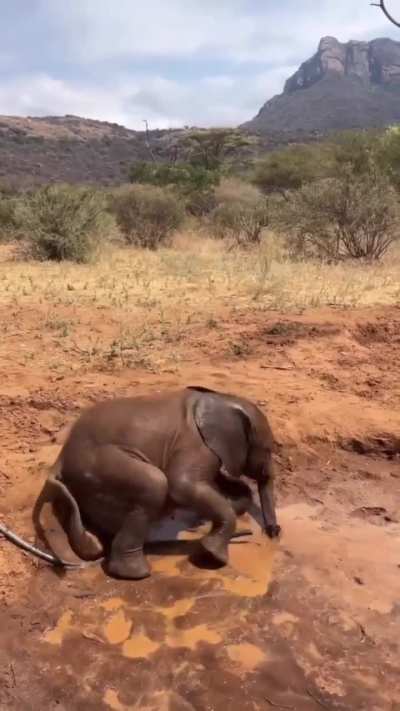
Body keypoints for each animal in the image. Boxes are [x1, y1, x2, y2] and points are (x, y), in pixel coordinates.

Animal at [0, 386, 280, 580]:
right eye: (268, 449)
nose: (274, 533)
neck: (221, 397)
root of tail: (59, 460)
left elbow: (223, 485)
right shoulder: (195, 445)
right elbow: (181, 485)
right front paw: (213, 557)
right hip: (100, 464)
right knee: (154, 483)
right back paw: (136, 574)